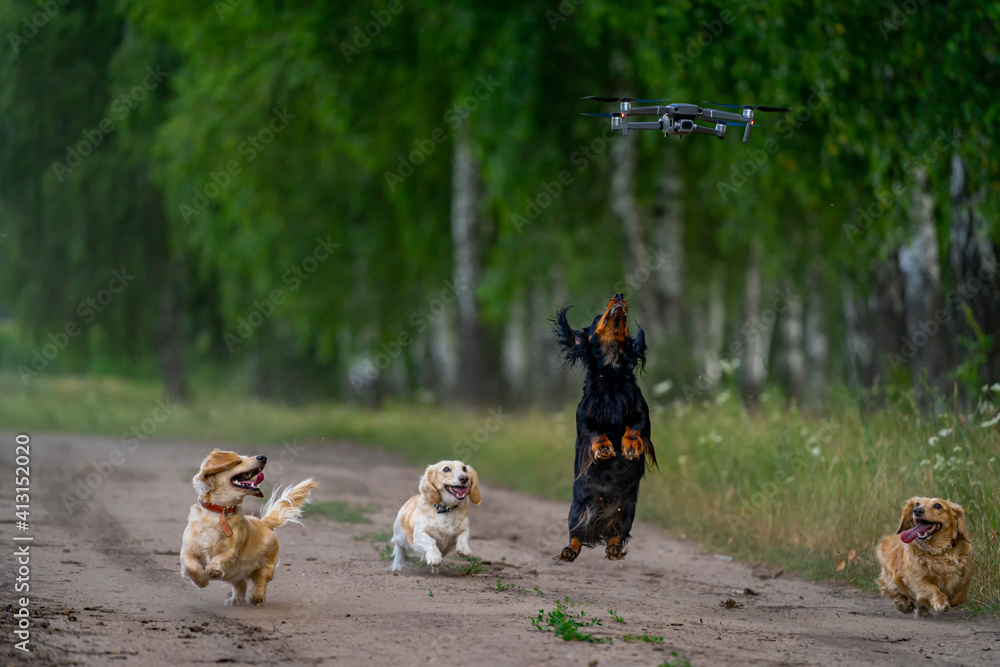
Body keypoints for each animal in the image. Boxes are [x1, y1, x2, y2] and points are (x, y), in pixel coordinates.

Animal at [181, 452, 316, 608]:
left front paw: (213, 569)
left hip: (266, 566)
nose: (263, 457)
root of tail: (264, 523)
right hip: (236, 574)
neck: (218, 513)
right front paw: (201, 580)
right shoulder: (188, 550)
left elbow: (221, 557)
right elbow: (190, 565)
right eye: (239, 460)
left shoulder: (231, 551)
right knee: (241, 585)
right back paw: (236, 600)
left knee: (260, 581)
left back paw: (257, 596)